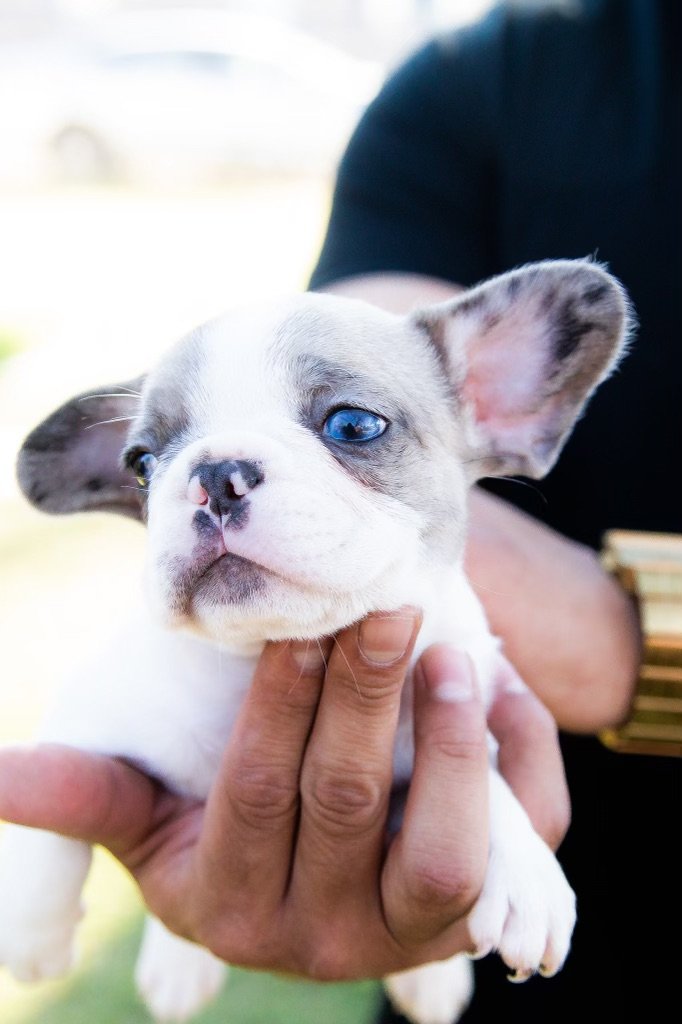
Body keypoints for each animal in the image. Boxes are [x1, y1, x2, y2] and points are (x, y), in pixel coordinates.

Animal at [0, 262, 626, 1024]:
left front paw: (528, 877)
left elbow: (489, 775)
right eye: (142, 465)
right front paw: (31, 928)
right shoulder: (89, 708)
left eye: (353, 425)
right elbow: (50, 807)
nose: (215, 473)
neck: (257, 655)